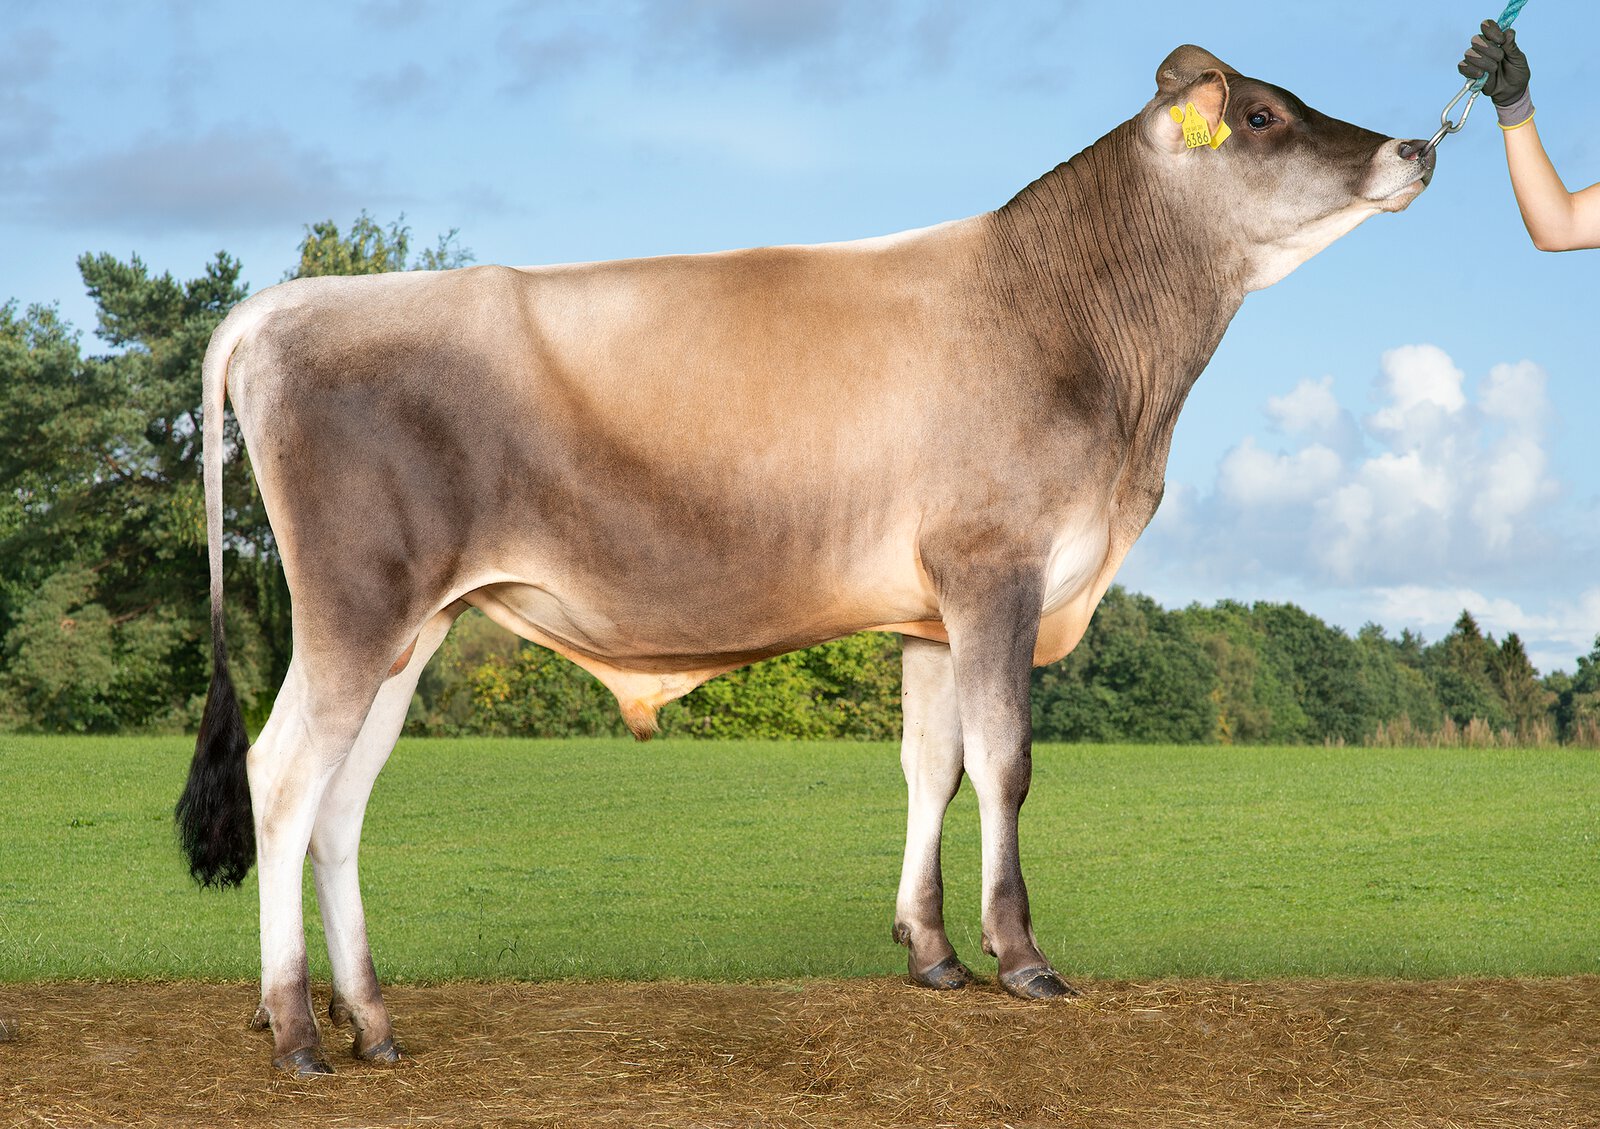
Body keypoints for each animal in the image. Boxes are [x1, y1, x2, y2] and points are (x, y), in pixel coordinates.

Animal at [177, 45, 1432, 1074]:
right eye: (1264, 115)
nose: (1414, 147)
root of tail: (285, 305)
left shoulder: (930, 611)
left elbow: (934, 767)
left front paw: (932, 953)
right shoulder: (997, 570)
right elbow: (1007, 763)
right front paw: (1020, 955)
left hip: (412, 625)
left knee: (341, 804)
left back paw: (373, 1023)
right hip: (356, 607)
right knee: (282, 780)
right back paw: (296, 1032)